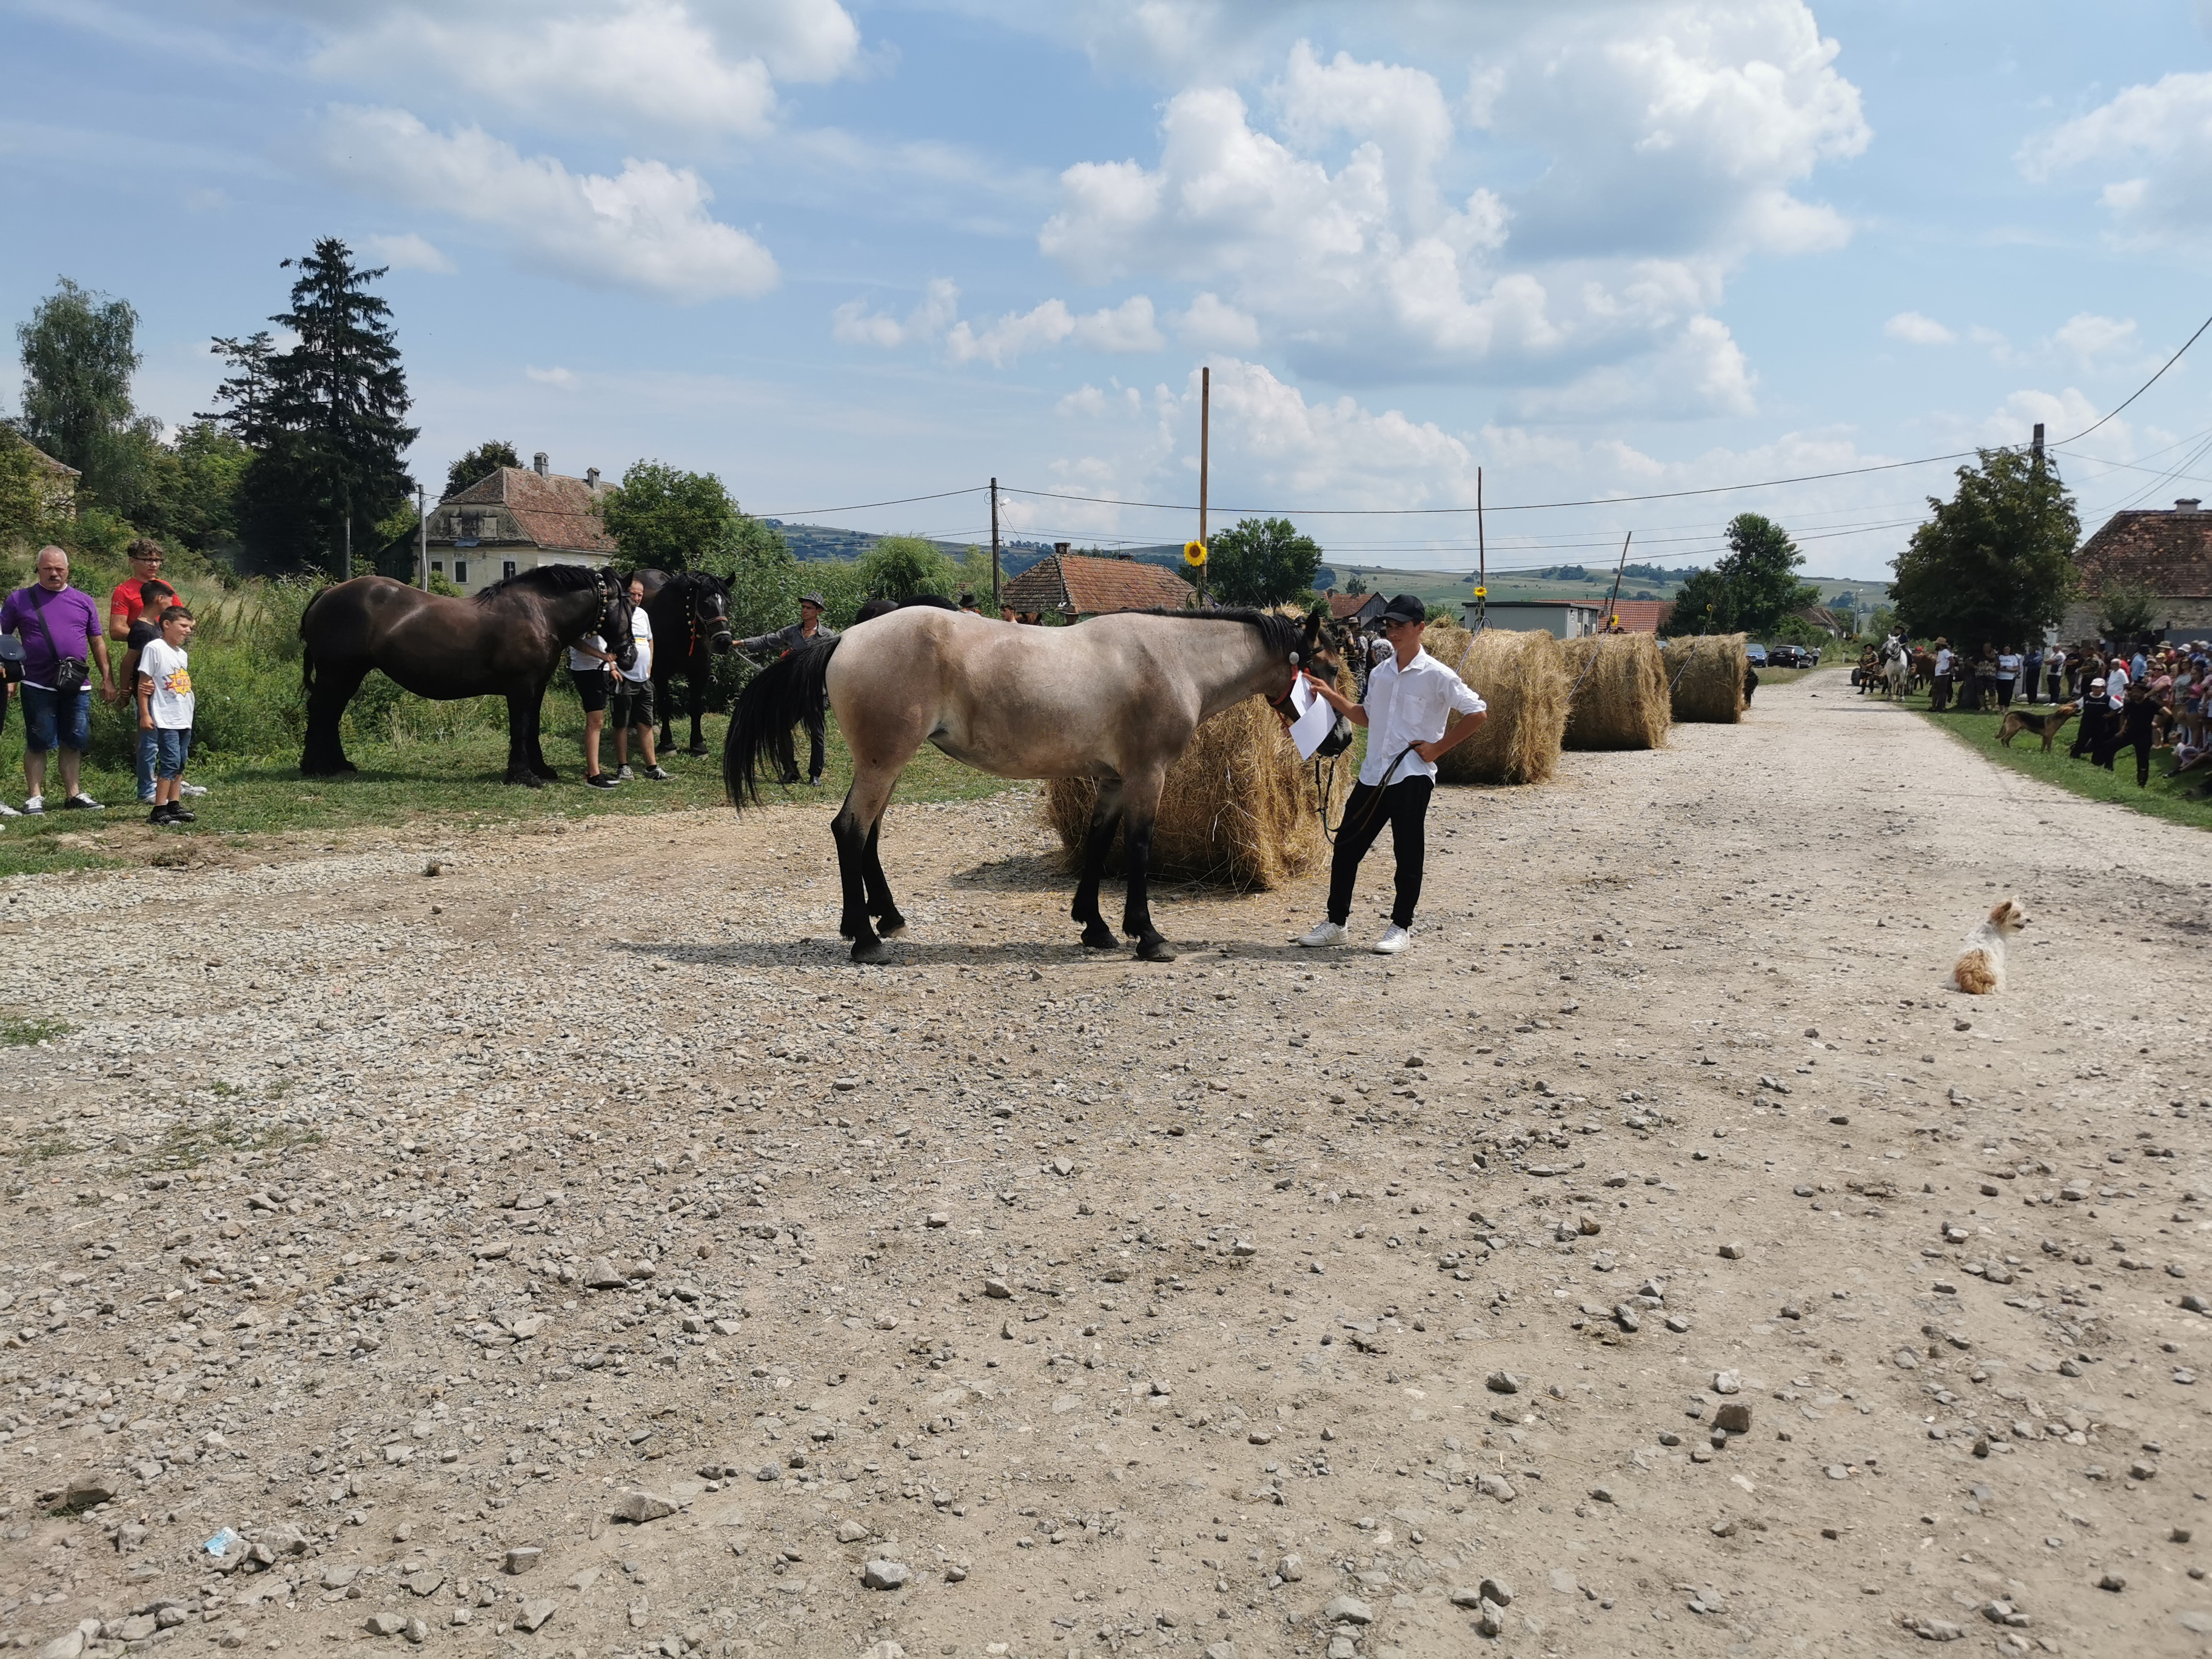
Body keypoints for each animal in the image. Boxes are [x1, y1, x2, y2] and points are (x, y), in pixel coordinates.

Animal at [298, 566, 634, 785]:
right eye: (629, 606)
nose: (629, 655)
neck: (539, 614)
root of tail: (328, 593)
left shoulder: (536, 688)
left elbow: (533, 728)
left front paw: (540, 769)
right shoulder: (521, 689)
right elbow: (521, 728)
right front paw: (522, 775)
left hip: (346, 677)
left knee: (330, 714)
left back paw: (336, 764)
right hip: (337, 674)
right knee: (321, 712)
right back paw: (316, 766)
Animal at [635, 569, 734, 756]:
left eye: (728, 603)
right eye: (704, 603)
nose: (724, 641)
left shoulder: (699, 673)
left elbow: (695, 707)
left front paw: (698, 745)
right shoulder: (661, 673)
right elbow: (666, 705)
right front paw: (667, 744)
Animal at [723, 605, 1352, 964]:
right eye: (1324, 668)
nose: (1344, 738)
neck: (1174, 658)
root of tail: (844, 639)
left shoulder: (1113, 780)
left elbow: (1099, 844)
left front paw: (1095, 927)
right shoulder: (1147, 775)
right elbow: (1139, 848)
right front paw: (1147, 935)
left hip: (887, 765)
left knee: (869, 835)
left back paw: (886, 919)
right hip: (883, 764)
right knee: (850, 830)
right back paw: (864, 938)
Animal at [1998, 702, 2077, 753]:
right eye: (2073, 709)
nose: (2079, 709)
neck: (2057, 718)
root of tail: (2010, 713)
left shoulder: (2045, 737)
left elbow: (2043, 747)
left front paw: (2042, 753)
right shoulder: (2049, 737)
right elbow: (2049, 748)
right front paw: (2050, 755)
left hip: (2014, 731)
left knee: (2007, 740)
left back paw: (2009, 748)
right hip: (2013, 730)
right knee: (2003, 739)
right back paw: (2006, 747)